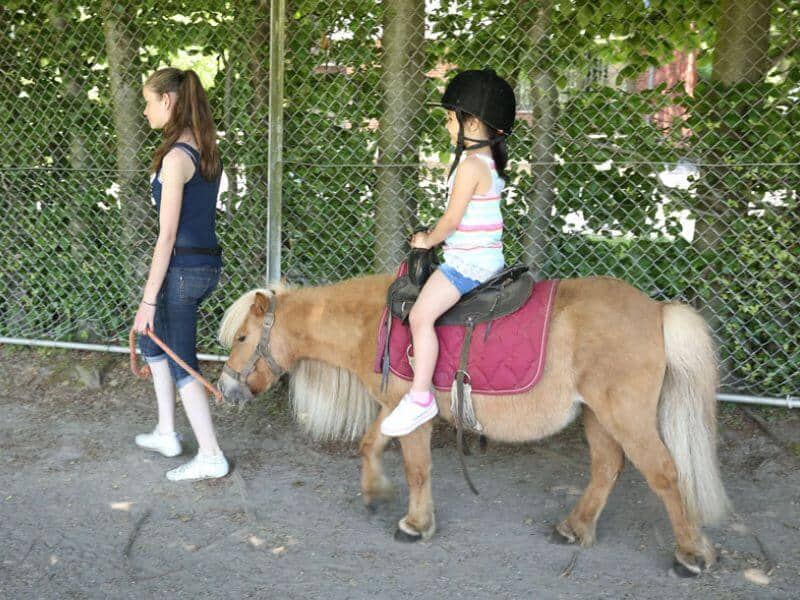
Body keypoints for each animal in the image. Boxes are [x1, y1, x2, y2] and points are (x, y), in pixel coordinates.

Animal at [216, 273, 730, 576]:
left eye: (242, 337)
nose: (225, 387)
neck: (374, 324)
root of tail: (658, 310)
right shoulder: (395, 406)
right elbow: (369, 443)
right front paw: (375, 493)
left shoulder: (412, 413)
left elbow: (417, 469)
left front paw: (415, 523)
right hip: (598, 416)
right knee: (607, 468)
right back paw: (575, 527)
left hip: (625, 414)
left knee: (665, 474)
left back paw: (691, 554)